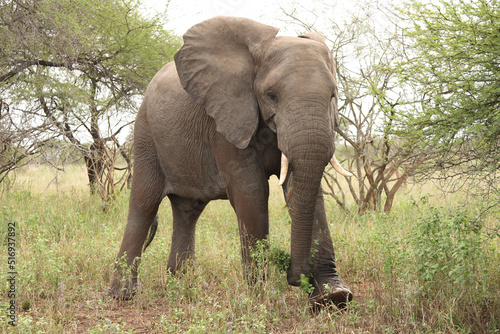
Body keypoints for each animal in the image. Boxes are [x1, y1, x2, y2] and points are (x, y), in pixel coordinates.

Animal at [110, 16, 354, 310]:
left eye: (332, 96)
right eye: (271, 95)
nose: (295, 277)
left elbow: (304, 189)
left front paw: (334, 297)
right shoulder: (225, 119)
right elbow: (252, 191)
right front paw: (263, 300)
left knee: (188, 211)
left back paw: (187, 288)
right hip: (146, 133)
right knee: (144, 203)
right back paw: (122, 295)